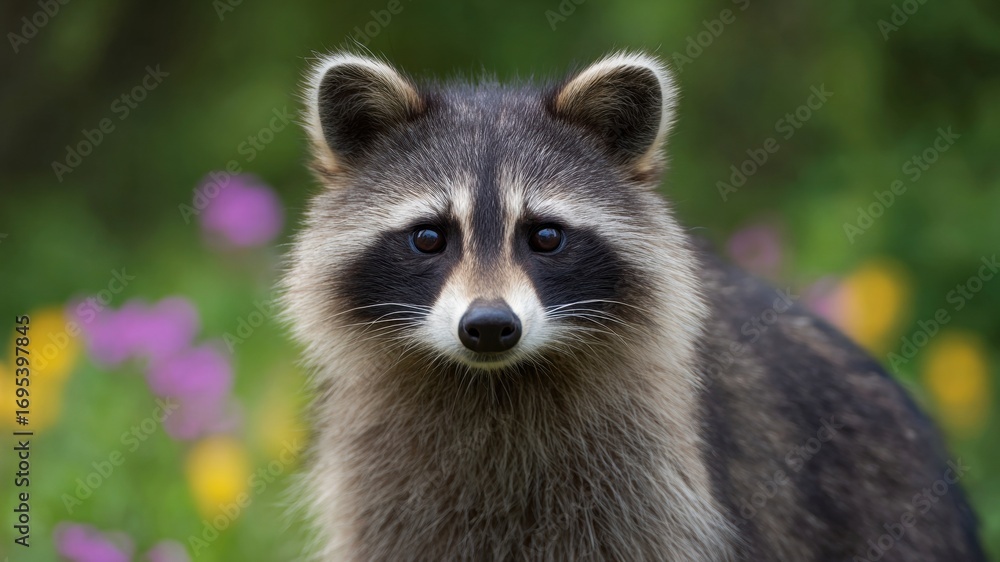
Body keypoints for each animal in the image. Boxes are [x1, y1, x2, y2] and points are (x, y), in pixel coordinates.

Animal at [280, 51, 985, 561]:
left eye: (545, 236)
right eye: (430, 237)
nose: (489, 327)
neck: (495, 382)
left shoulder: (656, 483)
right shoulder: (380, 487)